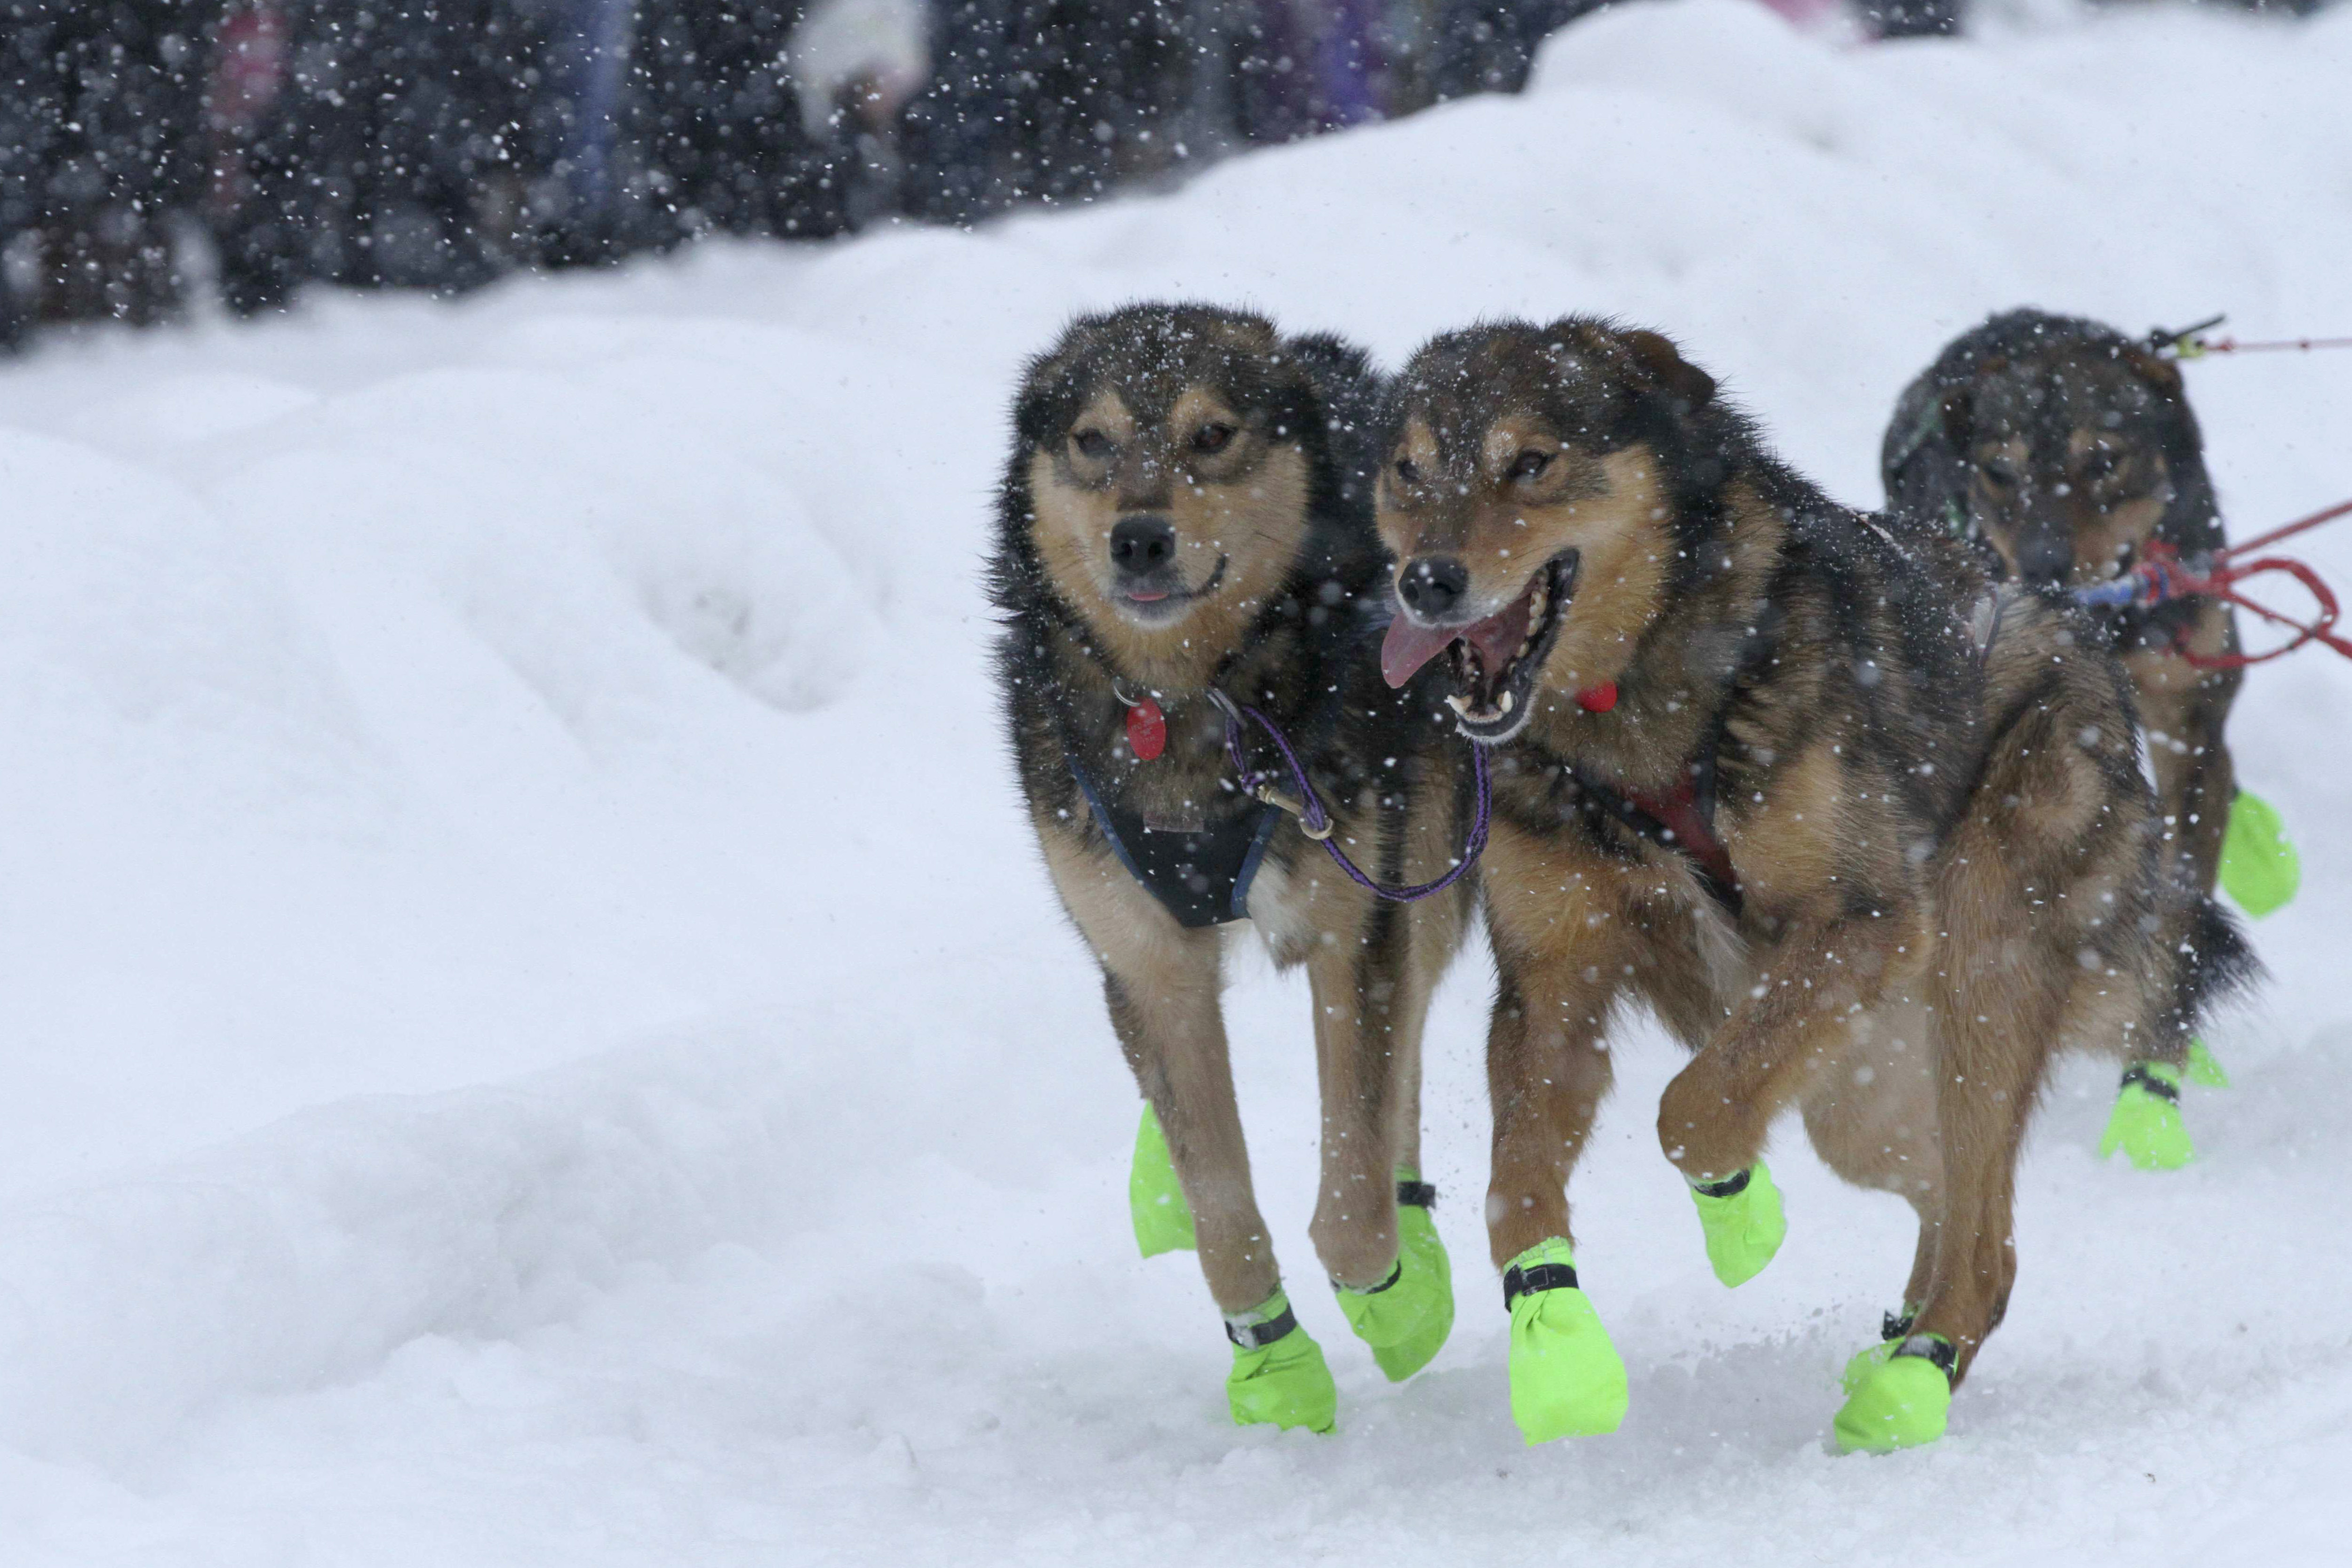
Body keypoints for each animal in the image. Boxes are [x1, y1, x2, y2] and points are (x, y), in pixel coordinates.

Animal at [988, 303, 1467, 1439]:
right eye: (1093, 440)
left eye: (1211, 435)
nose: (1138, 536)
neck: (1188, 699)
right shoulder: (1146, 963)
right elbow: (1219, 1202)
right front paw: (1274, 1363)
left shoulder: (1354, 930)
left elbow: (1354, 1195)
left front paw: (1399, 1303)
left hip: (1425, 865)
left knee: (1405, 1073)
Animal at [1373, 320, 2258, 1457]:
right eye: (1408, 470)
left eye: (1530, 461)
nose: (1427, 581)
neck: (1634, 712)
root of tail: (2077, 634)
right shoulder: (1551, 984)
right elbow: (1512, 1195)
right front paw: (1559, 1349)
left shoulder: (1861, 925)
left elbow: (1692, 1111)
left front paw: (1739, 1210)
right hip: (1864, 1088)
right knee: (1951, 1198)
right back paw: (1896, 1340)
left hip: (1974, 957)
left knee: (1987, 1242)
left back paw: (1912, 1379)